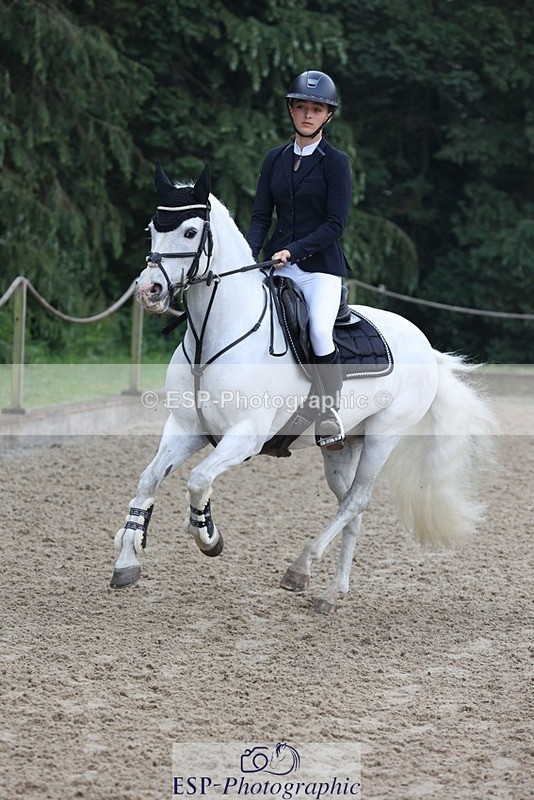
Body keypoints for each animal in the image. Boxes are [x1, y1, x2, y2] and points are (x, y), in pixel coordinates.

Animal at [110, 162, 496, 614]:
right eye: (152, 229)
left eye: (190, 232)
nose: (148, 291)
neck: (215, 334)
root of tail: (425, 344)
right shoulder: (187, 428)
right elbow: (149, 479)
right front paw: (128, 556)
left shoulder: (246, 436)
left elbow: (199, 480)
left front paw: (208, 537)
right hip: (343, 446)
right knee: (350, 508)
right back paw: (330, 591)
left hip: (384, 436)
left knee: (358, 500)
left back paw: (300, 567)